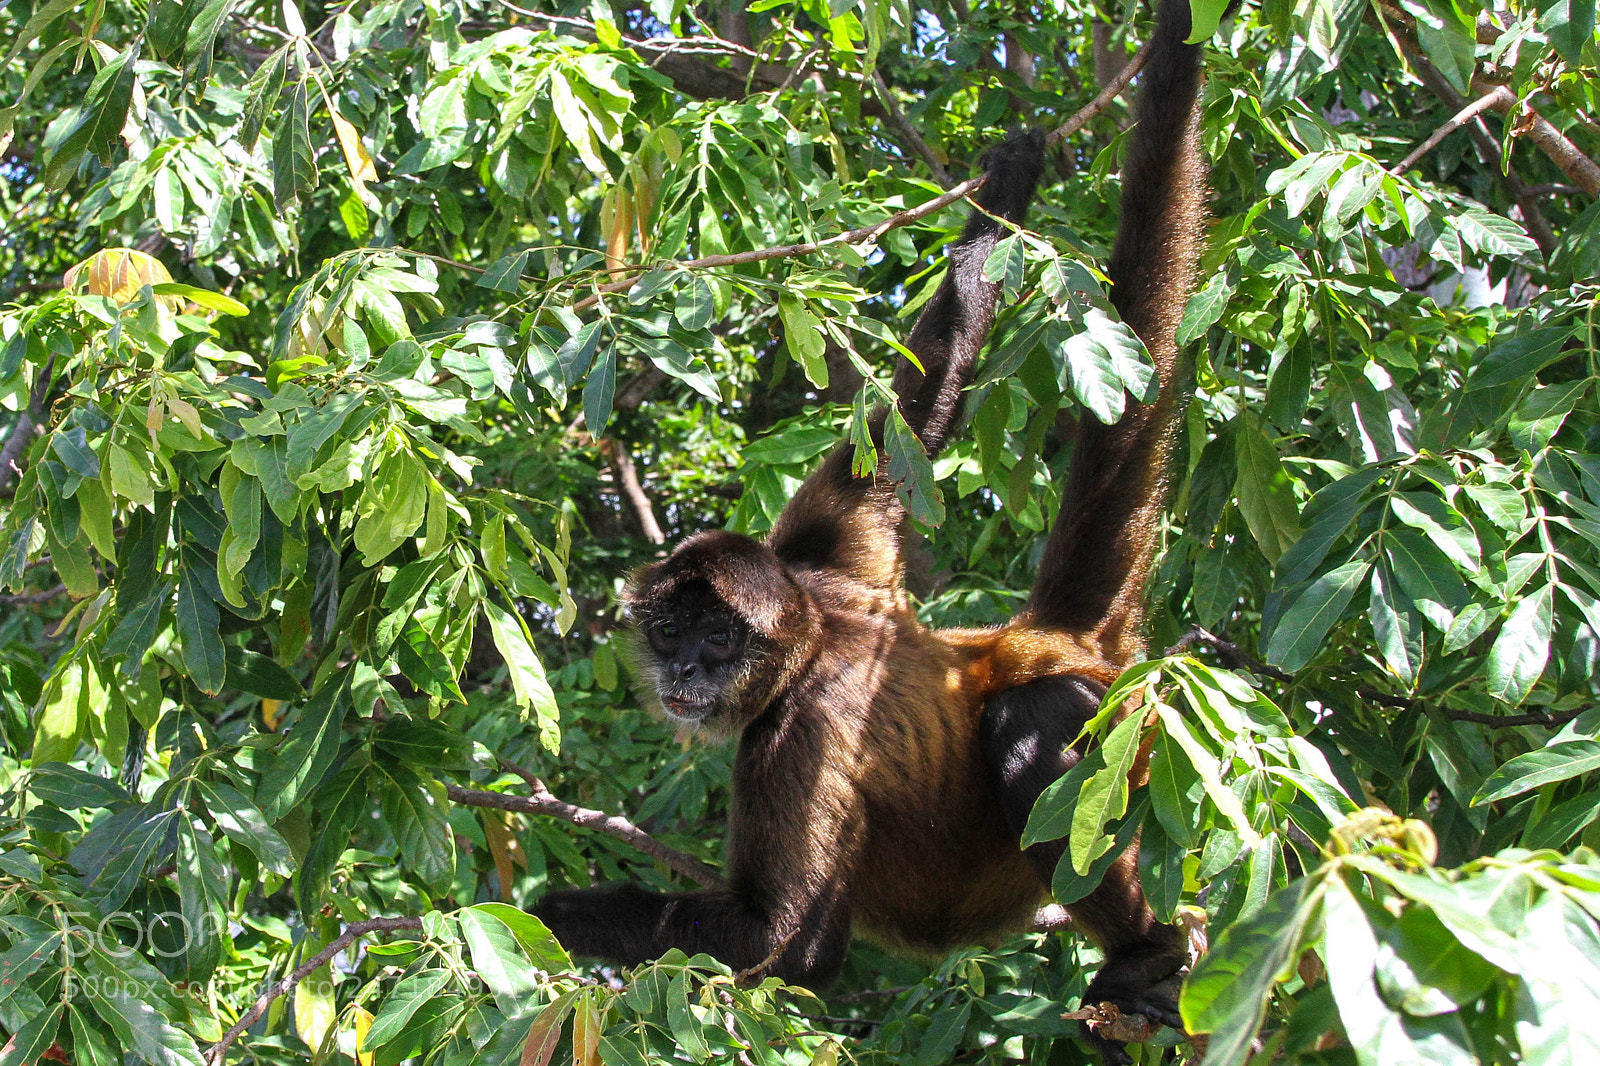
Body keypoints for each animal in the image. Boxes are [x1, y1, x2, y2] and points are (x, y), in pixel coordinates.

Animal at [534, 2, 1208, 1060]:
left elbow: (791, 944)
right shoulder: (822, 553)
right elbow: (897, 427)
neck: (813, 639)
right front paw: (1007, 190)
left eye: (719, 640)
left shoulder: (796, 731)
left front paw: (552, 916)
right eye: (672, 631)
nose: (684, 672)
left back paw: (1150, 958)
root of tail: (1044, 641)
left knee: (1027, 730)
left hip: (1107, 735)